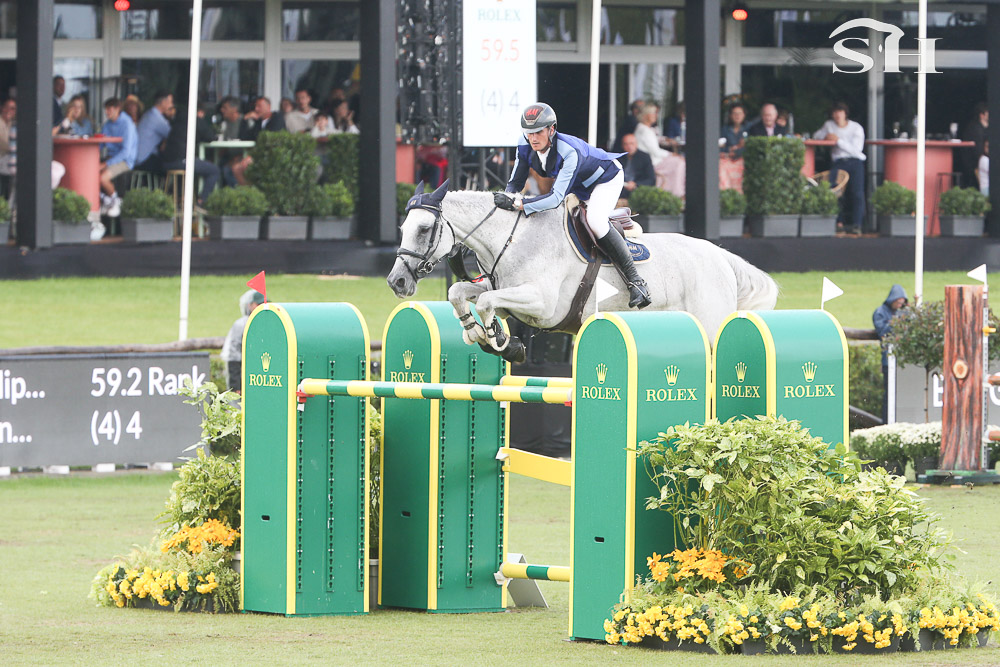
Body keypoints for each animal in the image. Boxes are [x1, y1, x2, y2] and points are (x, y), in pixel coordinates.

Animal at [387, 180, 779, 363]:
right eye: (403, 227)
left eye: (424, 229)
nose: (397, 282)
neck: (512, 237)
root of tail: (721, 257)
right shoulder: (504, 290)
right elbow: (462, 293)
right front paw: (479, 334)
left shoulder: (543, 305)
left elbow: (485, 302)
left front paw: (498, 338)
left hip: (711, 329)